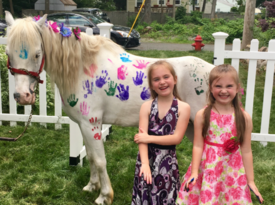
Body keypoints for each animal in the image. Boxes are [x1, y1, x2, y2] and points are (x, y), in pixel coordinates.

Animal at [4, 11, 216, 205]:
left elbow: (100, 161)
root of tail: (213, 72)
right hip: (190, 126)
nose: (22, 96)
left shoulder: (91, 124)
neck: (82, 68)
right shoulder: (85, 125)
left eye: (37, 54)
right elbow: (90, 157)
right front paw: (92, 186)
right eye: (8, 53)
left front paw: (104, 196)